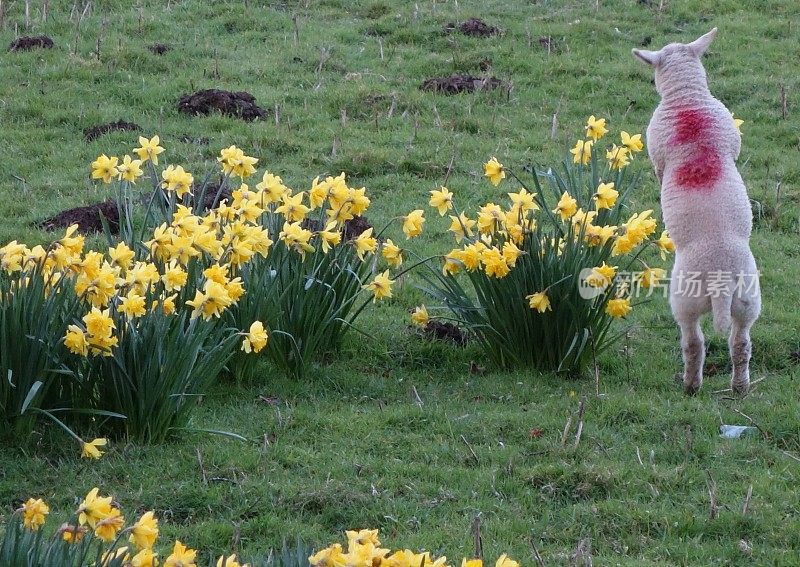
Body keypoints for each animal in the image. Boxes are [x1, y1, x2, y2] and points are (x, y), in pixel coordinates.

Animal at [632, 30, 764, 394]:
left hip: (685, 300)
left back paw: (691, 385)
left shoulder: (656, 152)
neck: (688, 99)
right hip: (748, 298)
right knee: (741, 342)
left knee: (693, 341)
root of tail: (720, 286)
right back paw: (740, 388)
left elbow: (658, 170)